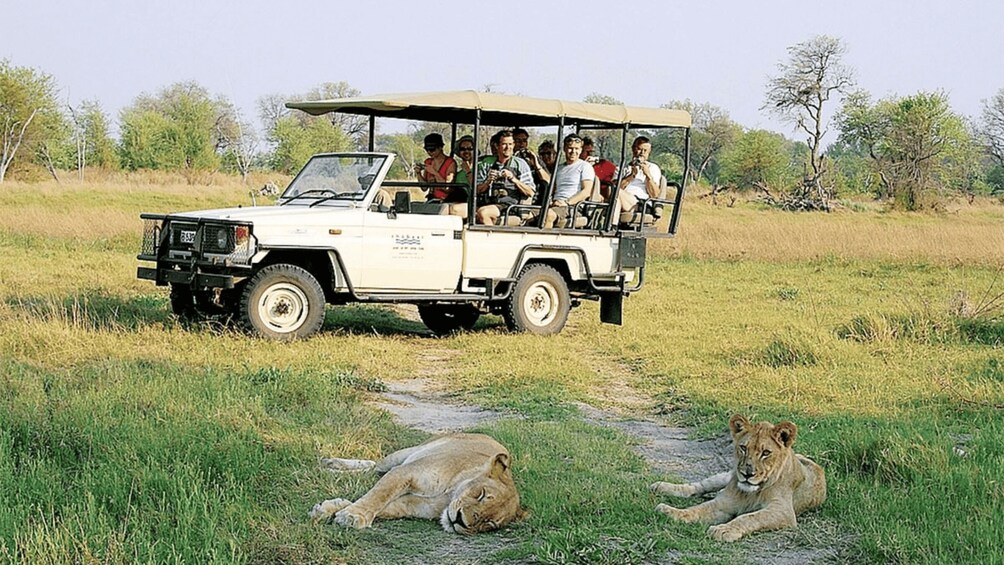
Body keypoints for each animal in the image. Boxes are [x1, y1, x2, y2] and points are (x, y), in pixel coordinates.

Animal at [309, 433, 527, 534]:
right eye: (480, 494)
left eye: (489, 524)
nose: (461, 521)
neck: (448, 496)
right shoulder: (406, 472)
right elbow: (379, 496)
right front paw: (352, 516)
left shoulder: (410, 505)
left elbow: (382, 507)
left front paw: (330, 509)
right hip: (402, 455)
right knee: (374, 466)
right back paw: (328, 466)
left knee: (374, 472)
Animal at [652, 414, 826, 542]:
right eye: (743, 448)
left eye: (766, 453)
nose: (747, 474)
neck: (752, 492)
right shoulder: (725, 502)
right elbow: (698, 509)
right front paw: (672, 512)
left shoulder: (783, 511)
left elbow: (750, 517)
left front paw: (724, 529)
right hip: (726, 476)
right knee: (699, 486)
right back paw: (660, 487)